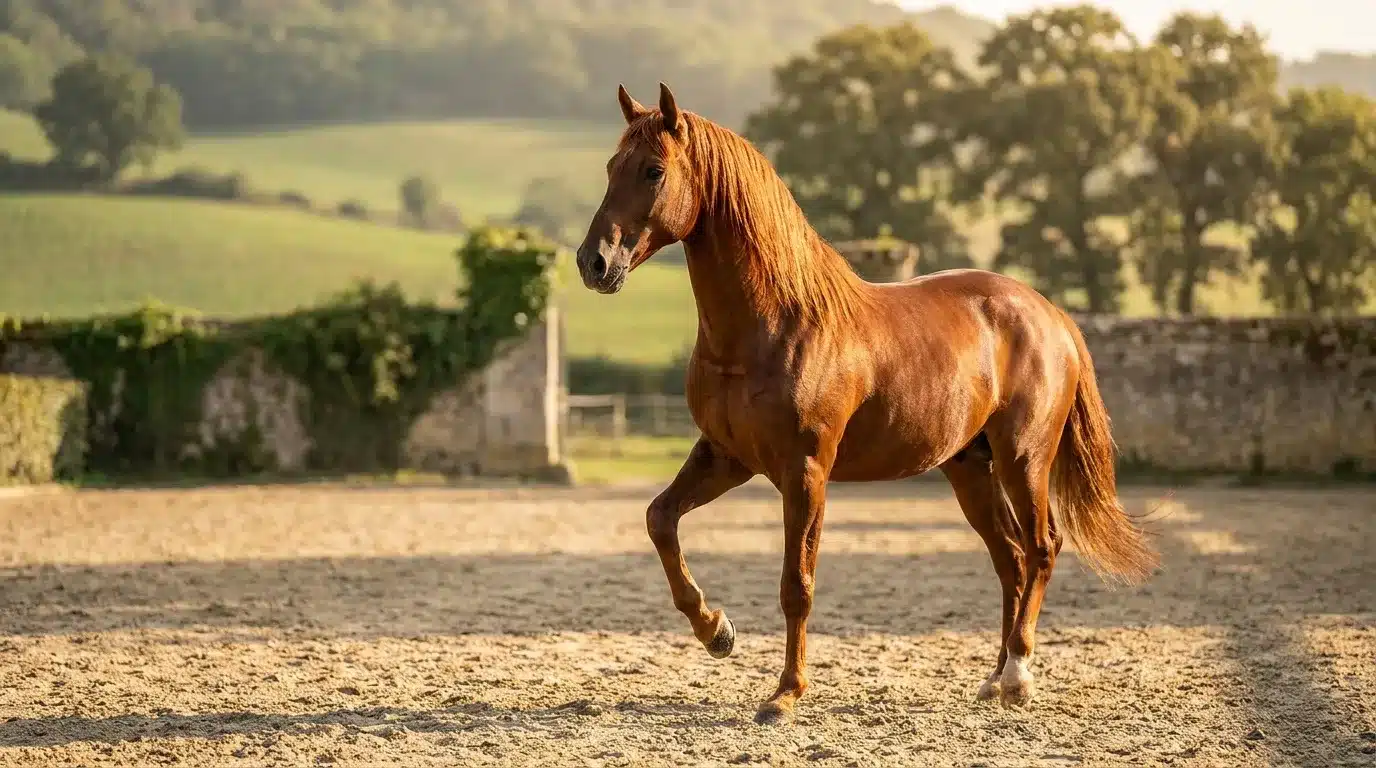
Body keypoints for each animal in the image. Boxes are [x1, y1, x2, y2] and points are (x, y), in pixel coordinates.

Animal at [573, 82, 1159, 724]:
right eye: (611, 166)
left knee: (1041, 549)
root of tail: (1049, 314)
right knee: (1010, 559)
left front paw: (785, 694)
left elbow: (796, 584)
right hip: (970, 469)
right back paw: (993, 677)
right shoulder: (727, 456)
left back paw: (1019, 675)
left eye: (653, 170)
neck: (776, 321)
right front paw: (717, 631)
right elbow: (661, 519)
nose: (593, 263)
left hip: (1023, 459)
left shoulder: (805, 472)